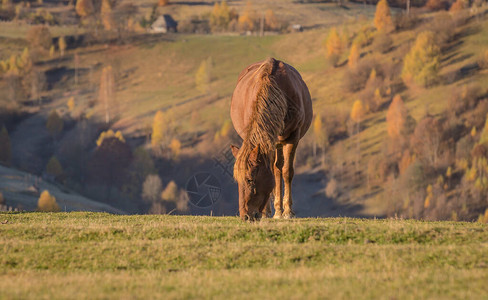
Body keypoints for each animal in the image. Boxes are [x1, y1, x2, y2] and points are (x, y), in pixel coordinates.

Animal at [230, 58, 312, 221]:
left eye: (250, 179)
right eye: (238, 181)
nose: (245, 216)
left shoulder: (292, 138)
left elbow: (286, 171)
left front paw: (287, 211)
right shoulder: (268, 141)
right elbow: (274, 173)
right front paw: (270, 211)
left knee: (279, 169)